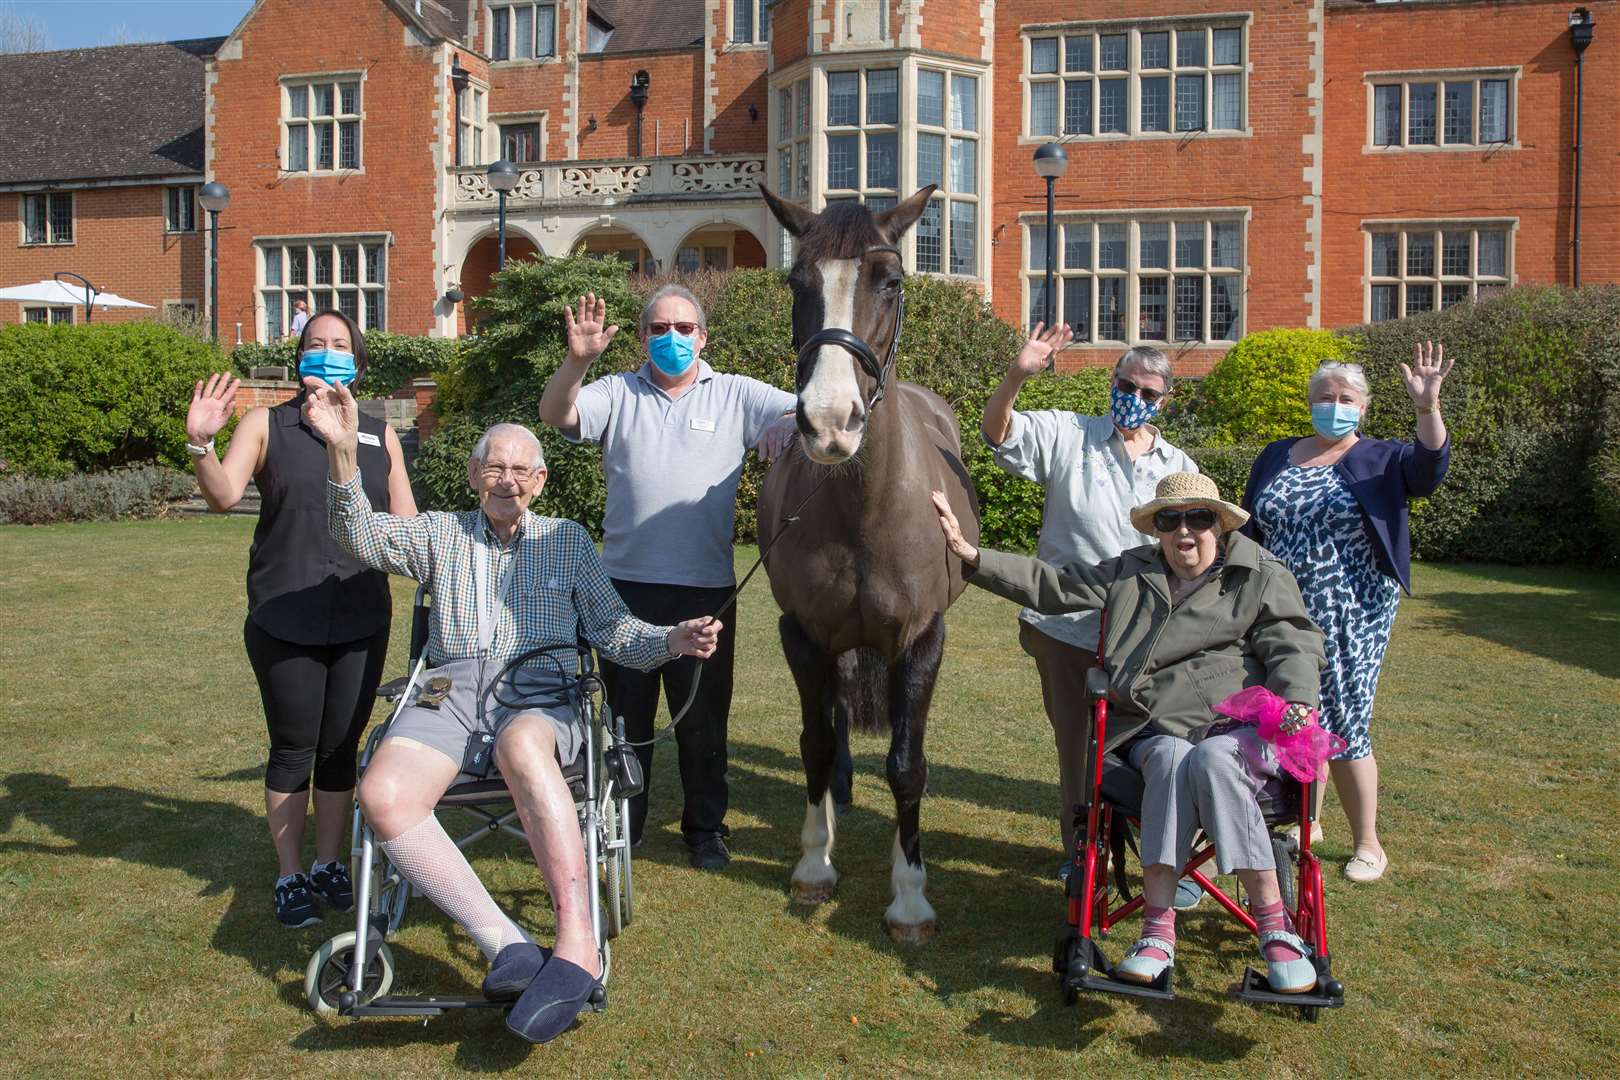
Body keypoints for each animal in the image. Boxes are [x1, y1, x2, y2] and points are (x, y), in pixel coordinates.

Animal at [754, 187, 972, 945]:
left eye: (891, 281)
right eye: (798, 284)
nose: (829, 422)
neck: (862, 508)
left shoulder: (923, 640)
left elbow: (908, 766)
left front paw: (909, 899)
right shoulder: (802, 634)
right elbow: (817, 742)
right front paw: (814, 862)